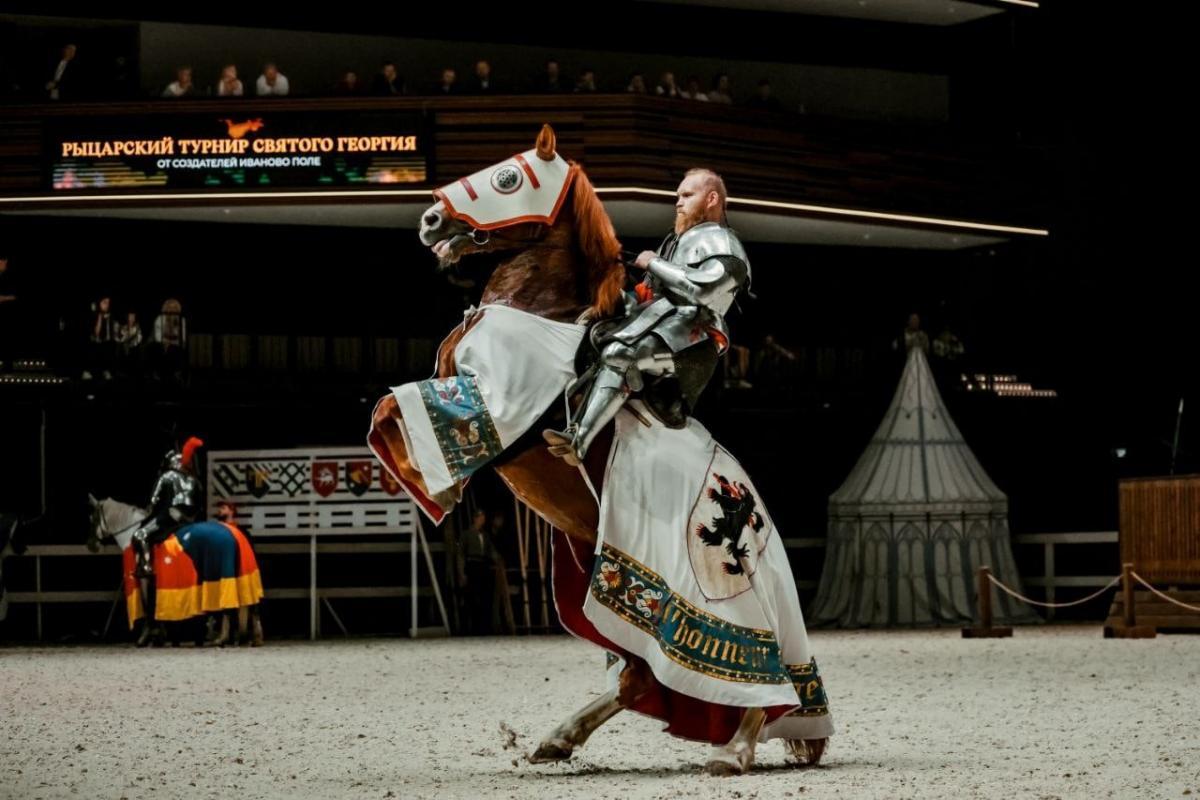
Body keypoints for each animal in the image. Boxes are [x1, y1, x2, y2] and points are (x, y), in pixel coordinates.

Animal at [369, 126, 830, 777]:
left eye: (507, 178)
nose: (432, 221)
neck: (536, 311)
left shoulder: (488, 403)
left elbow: (393, 411)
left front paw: (426, 485)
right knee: (641, 679)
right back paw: (559, 738)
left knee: (759, 676)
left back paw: (736, 748)